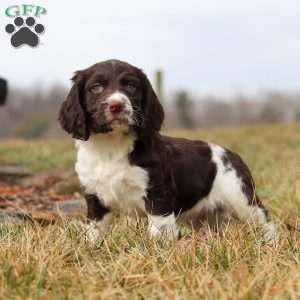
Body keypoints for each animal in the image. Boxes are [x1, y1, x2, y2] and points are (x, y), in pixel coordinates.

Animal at [58, 59, 276, 243]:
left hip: (241, 197)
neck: (110, 146)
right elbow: (94, 231)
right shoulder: (95, 197)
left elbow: (158, 230)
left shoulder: (158, 194)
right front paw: (89, 249)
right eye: (96, 88)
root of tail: (232, 154)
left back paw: (270, 244)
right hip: (205, 216)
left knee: (264, 221)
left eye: (131, 86)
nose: (116, 105)